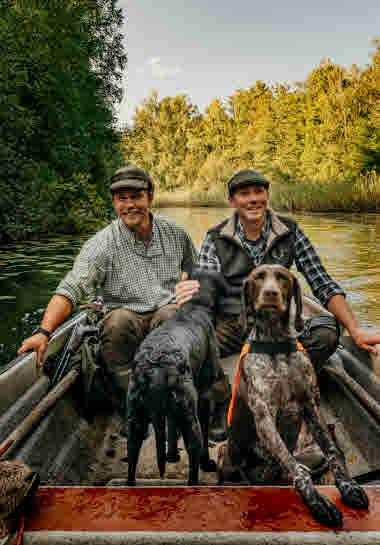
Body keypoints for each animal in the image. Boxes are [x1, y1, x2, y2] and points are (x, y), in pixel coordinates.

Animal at [127, 268, 235, 484]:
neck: (194, 307)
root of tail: (156, 368)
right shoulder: (204, 395)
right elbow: (203, 435)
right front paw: (206, 462)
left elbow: (170, 426)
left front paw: (171, 455)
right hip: (188, 413)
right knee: (194, 450)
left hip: (136, 419)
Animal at [217, 264, 368, 528]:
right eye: (258, 277)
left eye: (282, 277)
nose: (270, 294)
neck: (275, 342)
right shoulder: (264, 417)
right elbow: (294, 467)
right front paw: (318, 503)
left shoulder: (310, 405)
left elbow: (333, 451)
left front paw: (349, 487)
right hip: (232, 460)